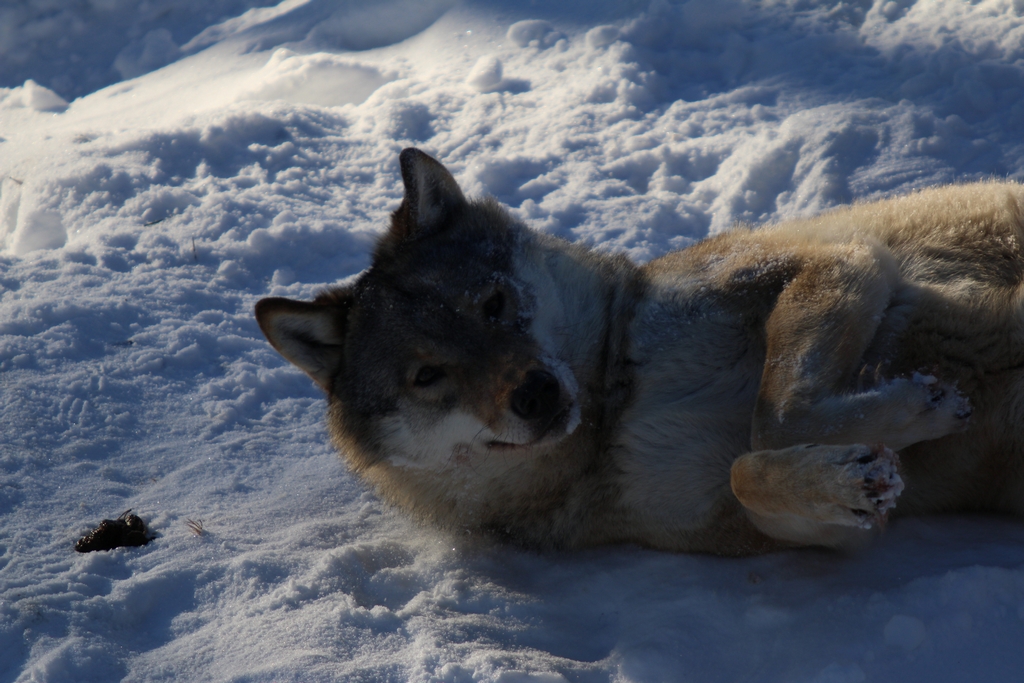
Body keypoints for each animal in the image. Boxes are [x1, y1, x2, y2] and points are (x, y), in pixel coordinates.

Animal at [253, 149, 1024, 557]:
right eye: (427, 376)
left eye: (493, 304)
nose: (535, 393)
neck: (617, 403)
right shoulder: (755, 529)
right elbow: (753, 467)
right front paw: (856, 472)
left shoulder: (842, 260)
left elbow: (774, 415)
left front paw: (918, 405)